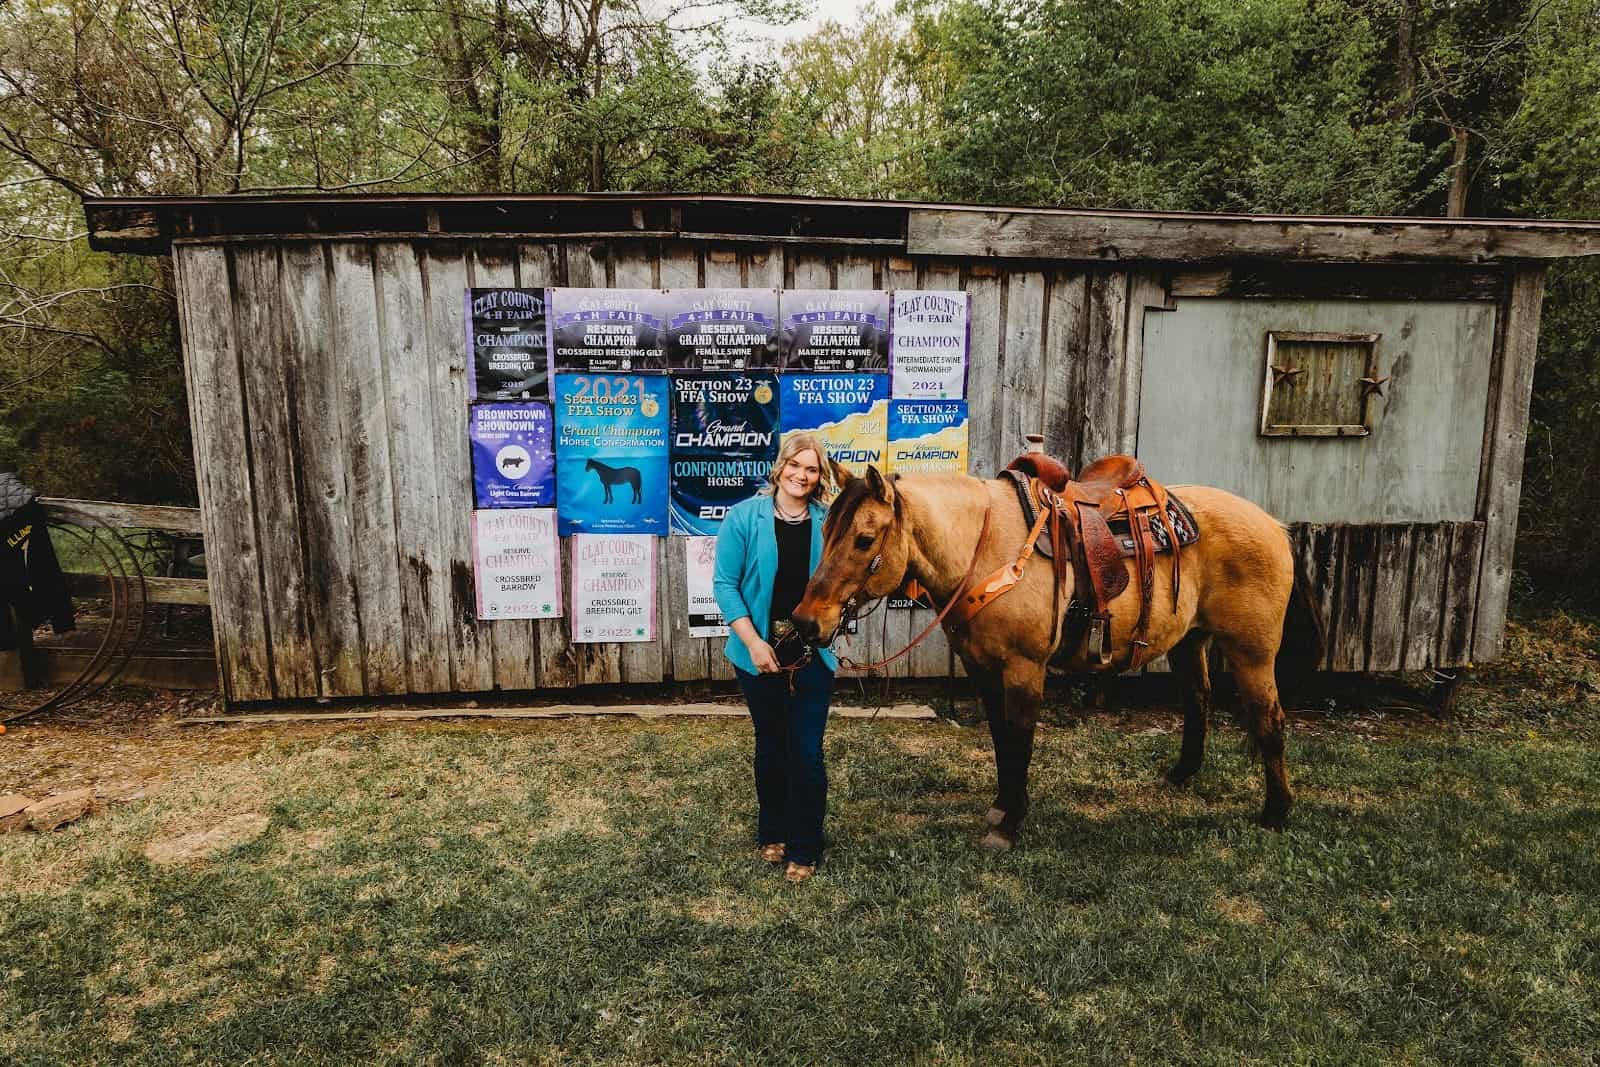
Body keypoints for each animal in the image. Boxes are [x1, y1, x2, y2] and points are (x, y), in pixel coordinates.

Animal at [793, 463, 1318, 857]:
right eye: (826, 528)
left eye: (864, 540)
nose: (805, 621)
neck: (987, 549)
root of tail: (1274, 525)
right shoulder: (984, 669)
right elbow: (1001, 740)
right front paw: (1002, 807)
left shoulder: (1024, 667)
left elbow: (1020, 740)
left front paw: (1009, 825)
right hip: (1191, 642)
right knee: (1198, 700)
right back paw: (1182, 774)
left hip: (1251, 651)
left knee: (1269, 719)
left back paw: (1276, 812)